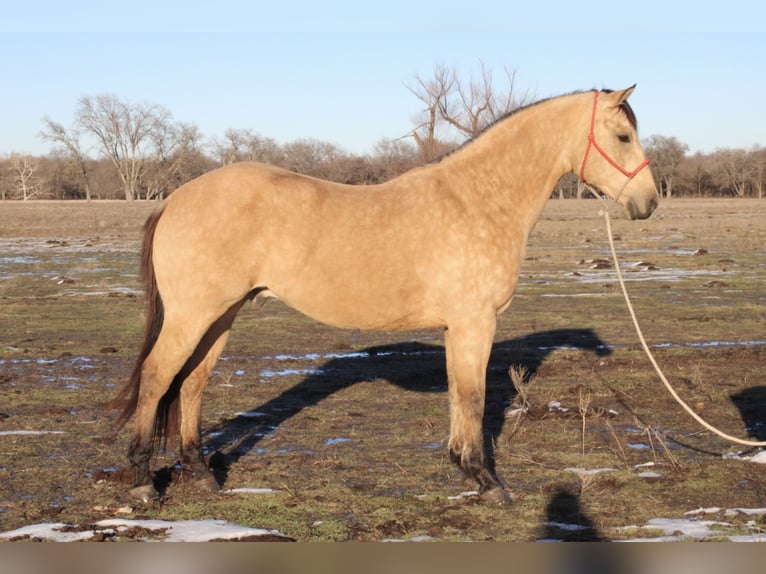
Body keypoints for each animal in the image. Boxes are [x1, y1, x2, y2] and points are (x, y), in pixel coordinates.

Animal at [111, 85, 656, 504]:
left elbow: (459, 394)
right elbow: (474, 396)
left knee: (191, 383)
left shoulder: (459, 326)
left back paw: (203, 474)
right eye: (623, 136)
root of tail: (175, 200)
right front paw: (487, 480)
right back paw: (142, 483)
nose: (648, 202)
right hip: (193, 314)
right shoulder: (476, 321)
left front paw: (463, 467)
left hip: (220, 316)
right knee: (158, 378)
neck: (479, 199)